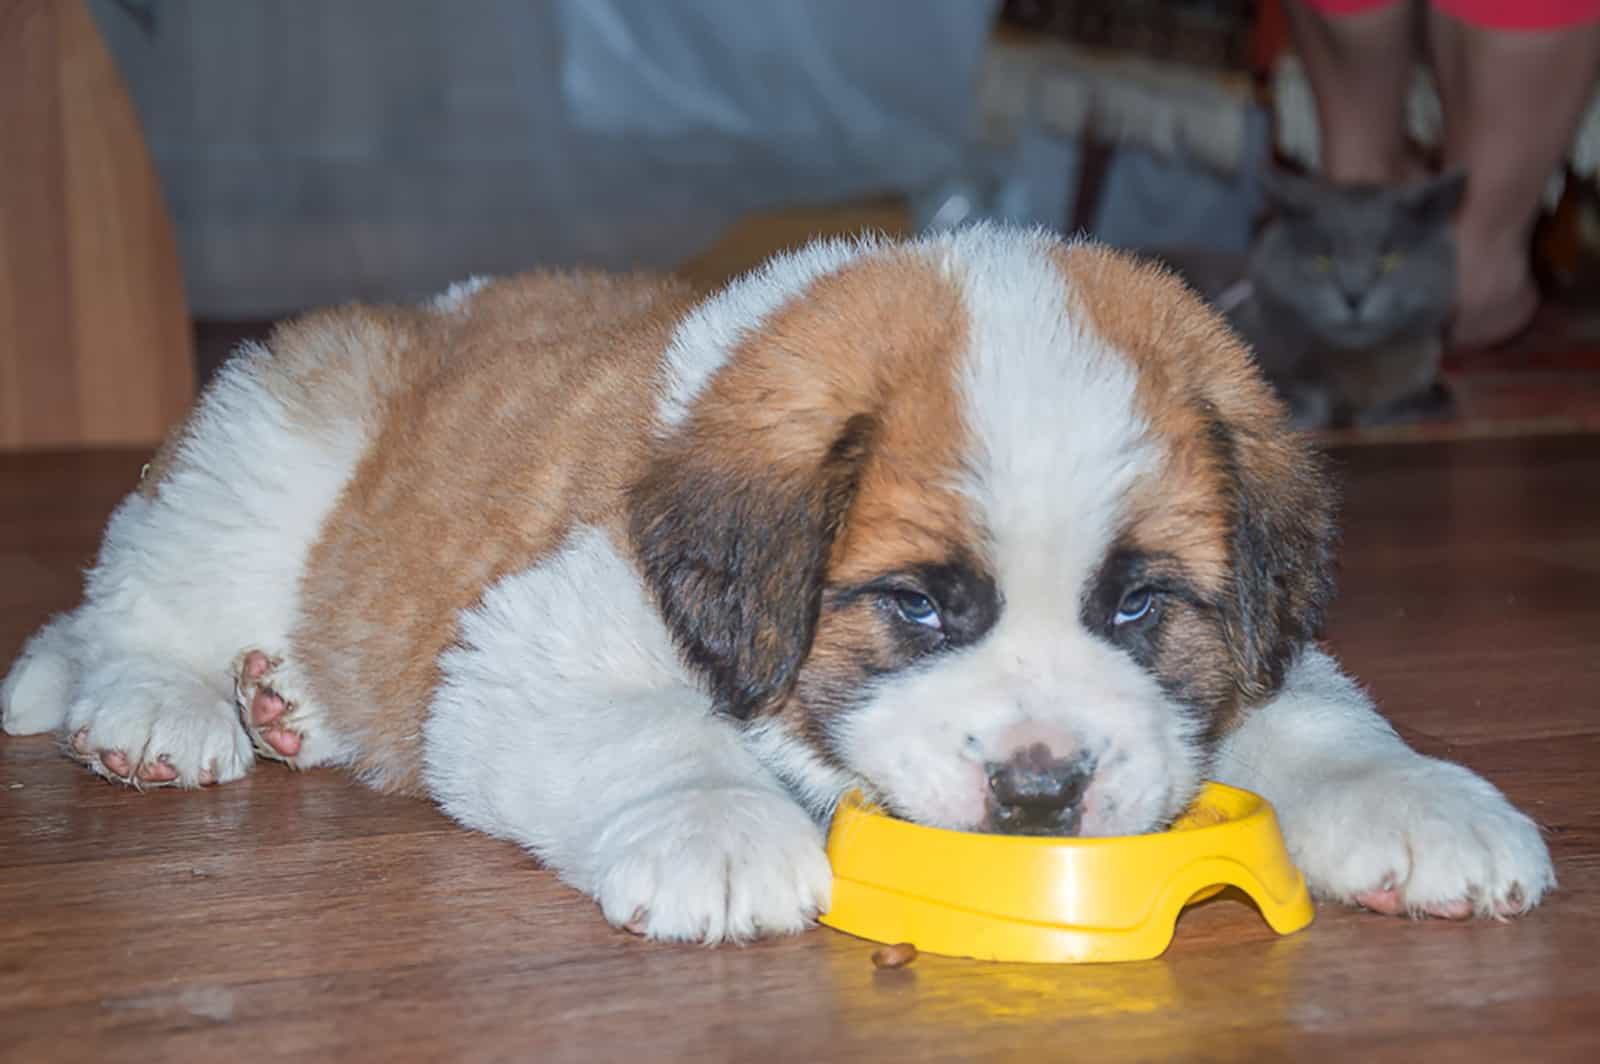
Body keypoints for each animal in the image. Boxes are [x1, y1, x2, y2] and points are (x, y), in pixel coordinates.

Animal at [0, 224, 1548, 940]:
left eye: (1136, 605)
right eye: (919, 605)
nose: (1043, 790)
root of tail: (418, 319)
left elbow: (1315, 715)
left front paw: (1422, 806)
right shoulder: (536, 639)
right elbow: (645, 733)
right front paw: (720, 835)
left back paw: (290, 707)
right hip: (278, 429)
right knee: (143, 589)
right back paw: (161, 709)